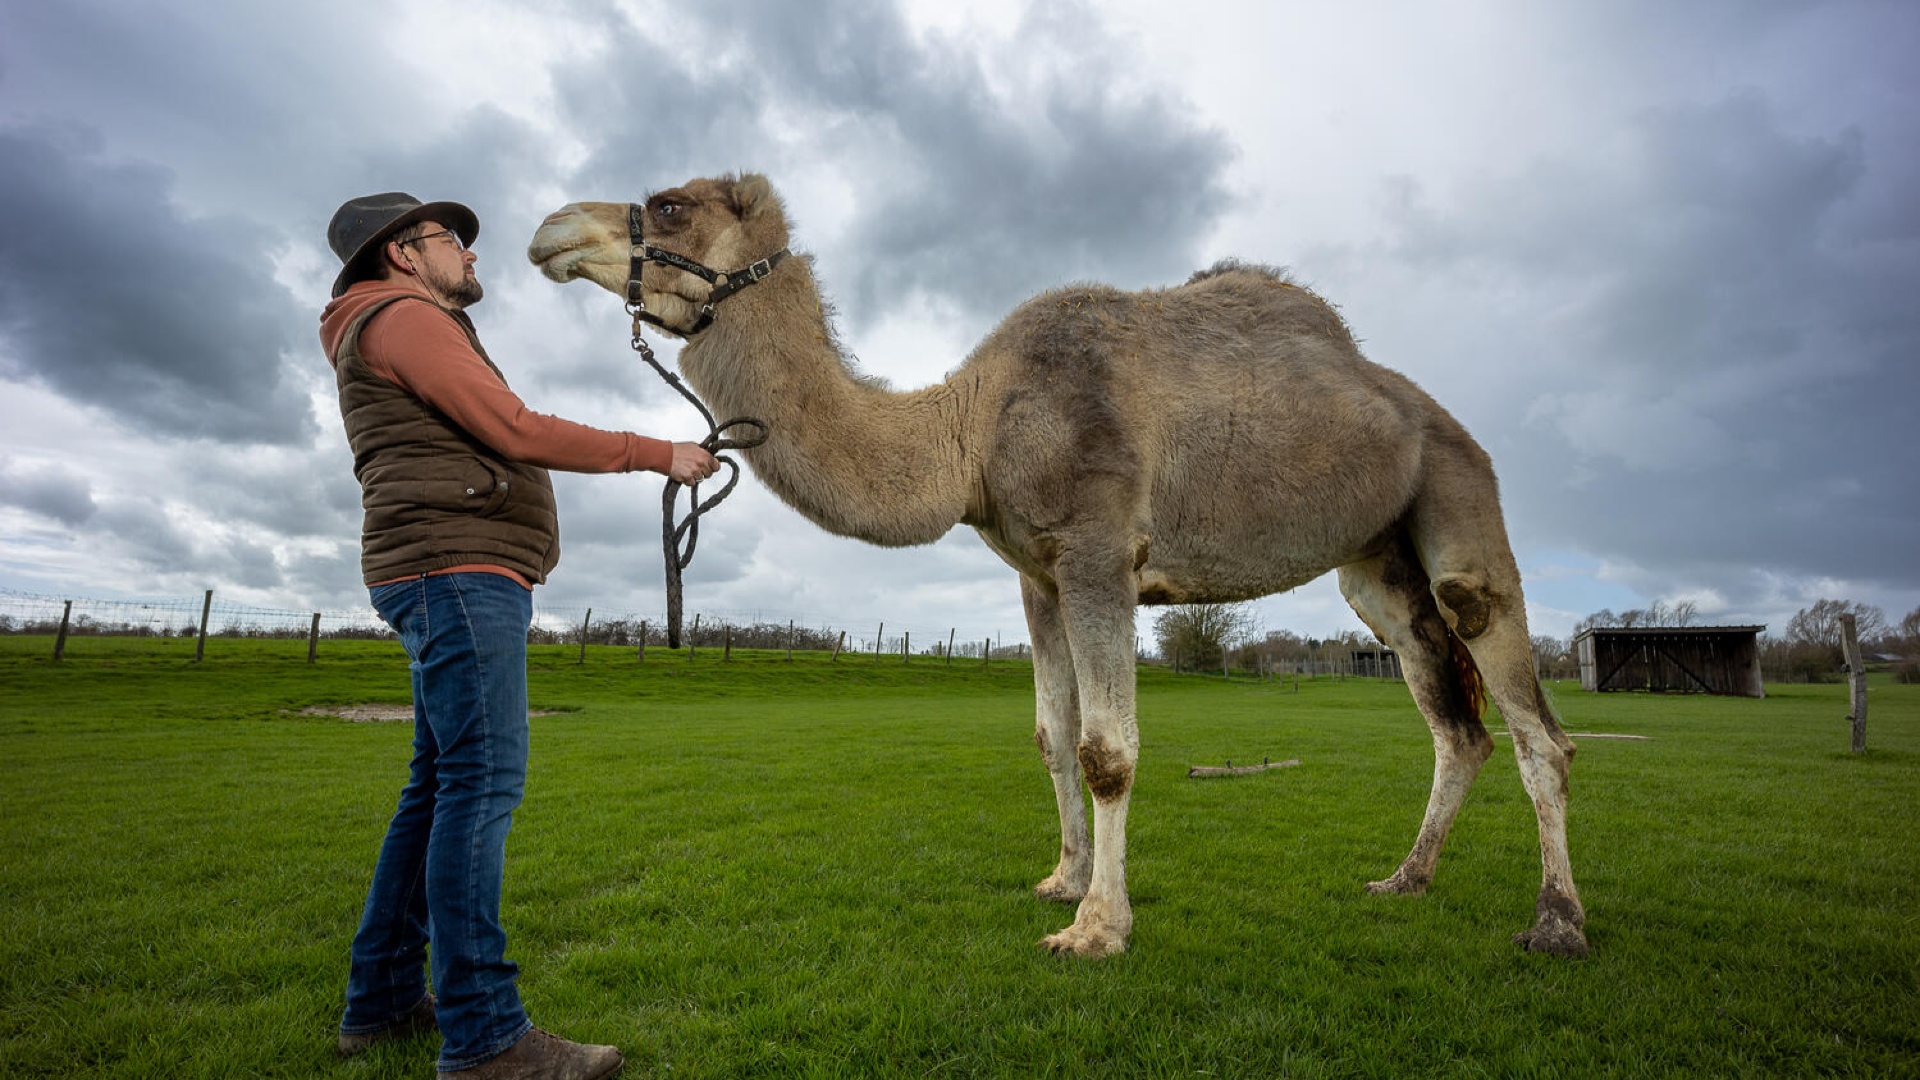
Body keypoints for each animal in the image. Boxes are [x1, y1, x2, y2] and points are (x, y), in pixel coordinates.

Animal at [526, 171, 1589, 953]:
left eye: (671, 204)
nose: (548, 226)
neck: (971, 423)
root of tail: (1432, 415)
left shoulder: (1098, 550)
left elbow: (1106, 749)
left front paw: (1098, 928)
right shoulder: (1035, 574)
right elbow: (1051, 733)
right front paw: (1063, 880)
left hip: (1460, 495)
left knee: (1530, 715)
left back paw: (1557, 922)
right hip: (1375, 564)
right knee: (1456, 724)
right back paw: (1405, 879)